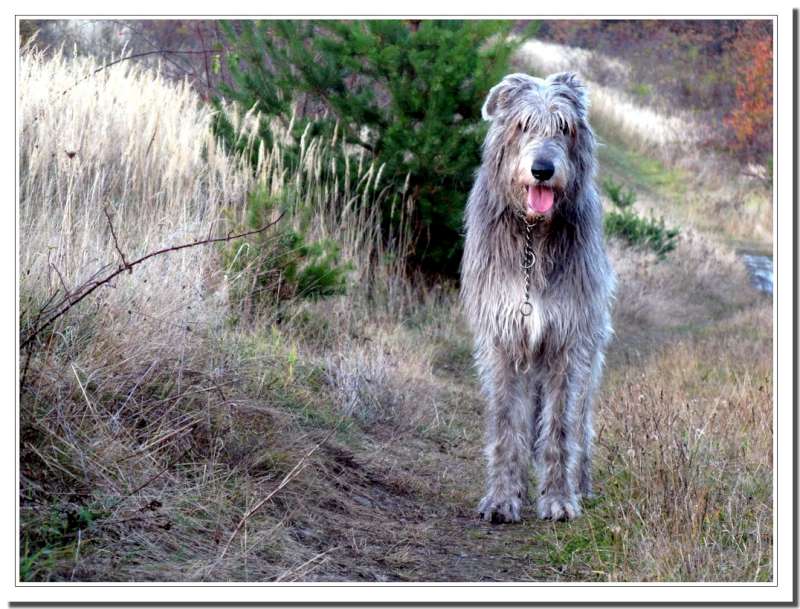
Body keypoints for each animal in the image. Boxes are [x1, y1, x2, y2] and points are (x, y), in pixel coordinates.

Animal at [460, 72, 614, 522]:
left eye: (564, 126)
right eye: (523, 124)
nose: (542, 170)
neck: (534, 235)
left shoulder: (569, 341)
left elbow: (561, 426)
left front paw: (560, 498)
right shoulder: (502, 338)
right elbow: (506, 424)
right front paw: (501, 498)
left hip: (591, 352)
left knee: (580, 421)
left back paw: (581, 484)